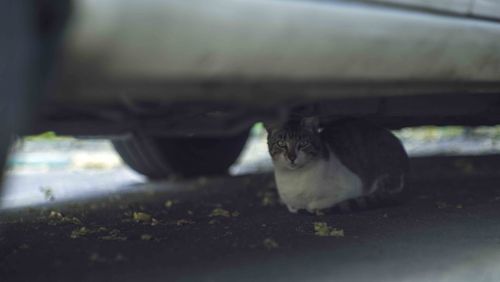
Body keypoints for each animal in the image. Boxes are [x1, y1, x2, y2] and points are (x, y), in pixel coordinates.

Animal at [268, 117, 408, 214]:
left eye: (303, 143)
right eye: (281, 143)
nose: (292, 157)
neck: (294, 177)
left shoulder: (352, 186)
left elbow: (314, 204)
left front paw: (312, 207)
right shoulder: (289, 201)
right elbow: (292, 206)